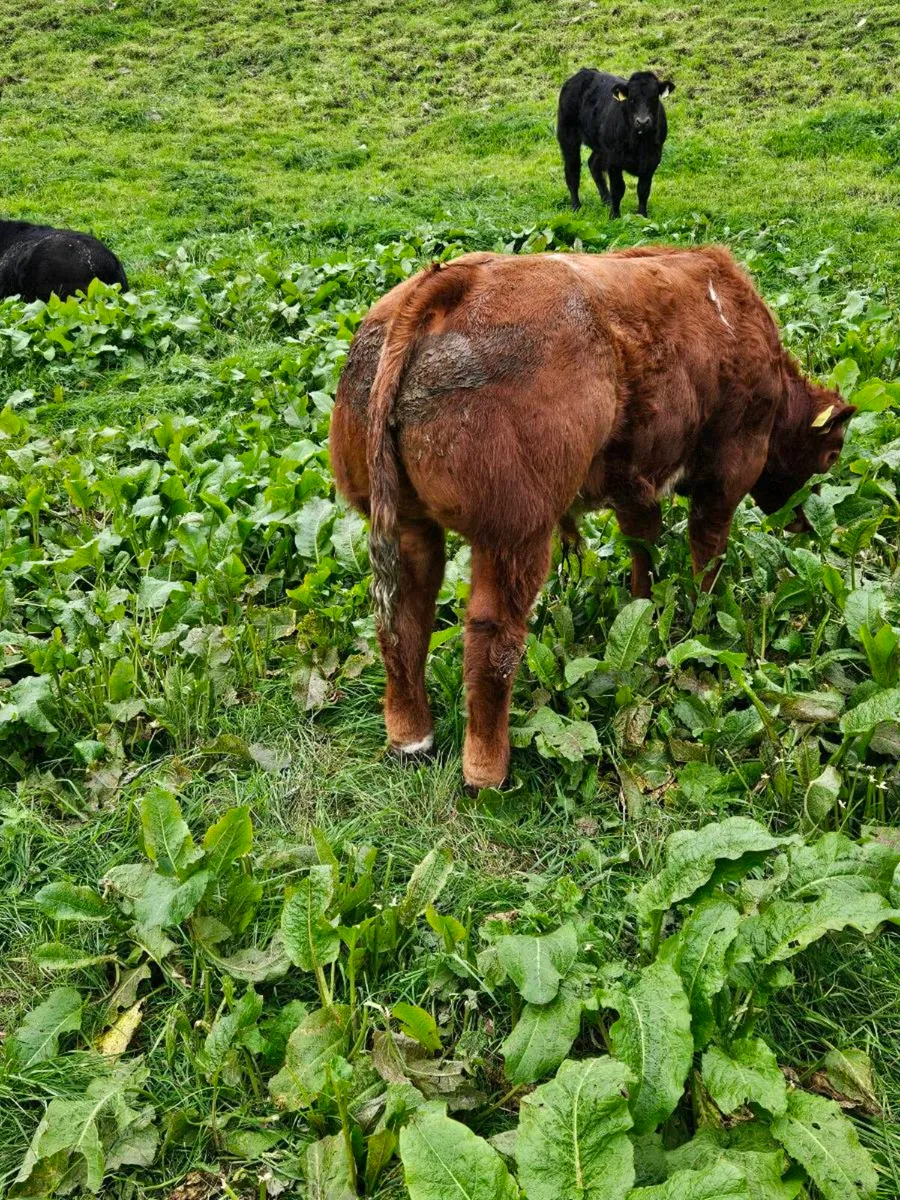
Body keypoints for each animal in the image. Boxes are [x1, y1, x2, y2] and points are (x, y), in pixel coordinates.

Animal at [329, 246, 854, 792]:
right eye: (832, 453)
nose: (806, 523)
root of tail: (452, 281)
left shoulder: (635, 483)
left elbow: (643, 546)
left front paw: (647, 608)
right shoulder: (731, 465)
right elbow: (707, 550)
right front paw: (702, 614)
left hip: (406, 522)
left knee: (402, 620)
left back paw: (412, 739)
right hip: (515, 532)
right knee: (491, 640)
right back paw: (487, 772)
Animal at [557, 69, 674, 217]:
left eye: (654, 98)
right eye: (631, 99)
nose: (642, 122)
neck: (639, 143)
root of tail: (584, 72)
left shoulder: (653, 159)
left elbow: (643, 190)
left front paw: (642, 215)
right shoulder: (614, 160)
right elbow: (618, 189)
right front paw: (615, 216)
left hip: (601, 146)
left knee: (593, 164)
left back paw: (606, 200)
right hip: (567, 136)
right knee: (572, 171)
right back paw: (576, 206)